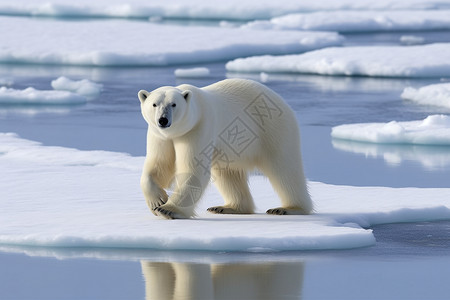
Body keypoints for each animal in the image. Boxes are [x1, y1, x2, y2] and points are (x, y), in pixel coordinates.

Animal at [139, 78, 312, 219]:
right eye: (154, 104)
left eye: (173, 104)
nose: (163, 120)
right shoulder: (160, 136)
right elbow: (159, 165)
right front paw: (157, 201)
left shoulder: (199, 128)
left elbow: (192, 169)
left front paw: (167, 209)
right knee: (228, 173)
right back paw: (227, 207)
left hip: (273, 129)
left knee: (284, 169)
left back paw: (288, 208)